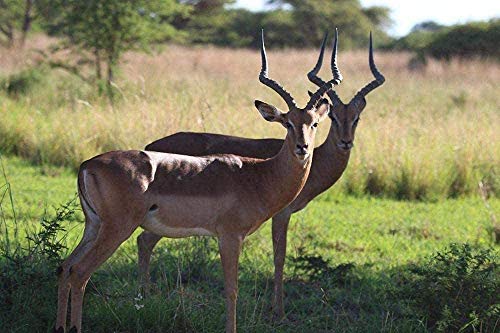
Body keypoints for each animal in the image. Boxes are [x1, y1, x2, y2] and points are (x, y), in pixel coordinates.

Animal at [53, 29, 336, 330]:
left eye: (314, 123)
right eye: (288, 123)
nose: (302, 148)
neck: (258, 176)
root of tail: (87, 164)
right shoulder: (230, 236)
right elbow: (232, 290)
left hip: (93, 225)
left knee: (66, 267)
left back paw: (60, 326)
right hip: (116, 229)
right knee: (80, 272)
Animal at [135, 31, 384, 316]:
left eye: (356, 118)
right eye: (333, 117)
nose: (345, 142)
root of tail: (149, 147)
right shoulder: (282, 213)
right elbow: (280, 255)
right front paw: (279, 310)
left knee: (144, 241)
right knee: (144, 241)